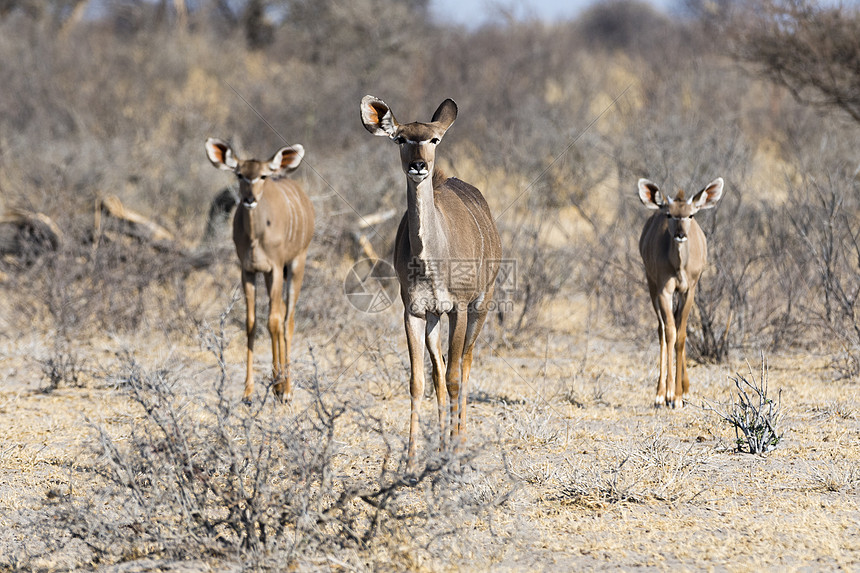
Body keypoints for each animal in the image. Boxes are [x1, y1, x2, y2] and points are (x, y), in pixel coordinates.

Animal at [206, 136, 316, 400]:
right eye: (239, 174)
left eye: (263, 176)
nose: (249, 199)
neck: (256, 237)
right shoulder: (248, 270)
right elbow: (252, 323)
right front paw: (248, 392)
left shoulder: (276, 267)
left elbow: (274, 322)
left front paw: (284, 388)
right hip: (268, 275)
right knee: (279, 314)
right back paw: (276, 383)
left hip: (296, 263)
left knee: (287, 320)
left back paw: (285, 387)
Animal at [358, 95, 504, 470]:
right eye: (400, 139)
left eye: (434, 139)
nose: (418, 166)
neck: (430, 261)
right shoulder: (415, 312)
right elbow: (418, 381)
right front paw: (410, 460)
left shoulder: (459, 308)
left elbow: (454, 376)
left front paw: (455, 451)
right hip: (436, 319)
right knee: (438, 370)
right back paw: (440, 444)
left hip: (481, 305)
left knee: (464, 364)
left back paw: (459, 441)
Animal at [636, 178, 724, 406]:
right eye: (669, 214)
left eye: (690, 215)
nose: (680, 235)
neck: (678, 267)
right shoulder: (664, 290)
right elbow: (670, 333)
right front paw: (668, 395)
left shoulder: (688, 290)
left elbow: (682, 334)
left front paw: (678, 394)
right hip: (651, 285)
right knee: (662, 330)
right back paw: (661, 393)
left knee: (677, 325)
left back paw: (684, 390)